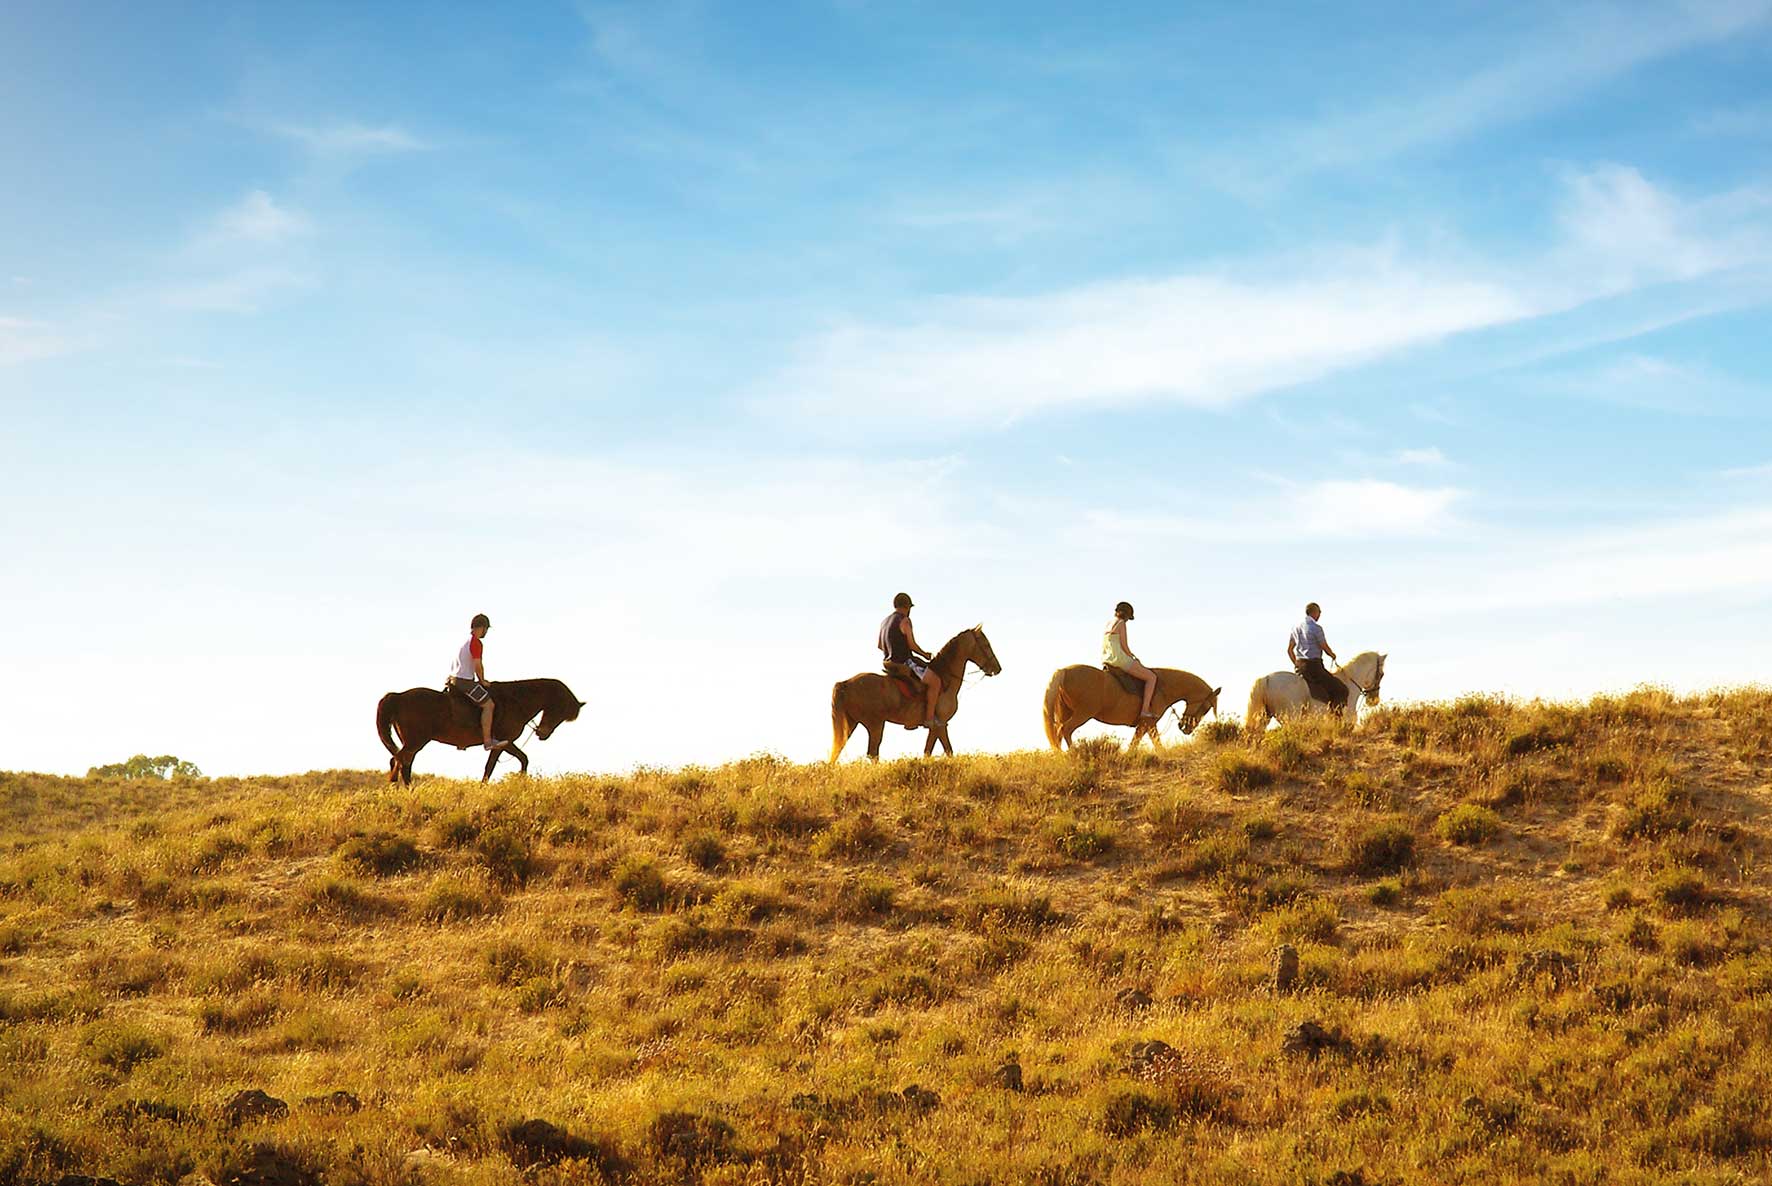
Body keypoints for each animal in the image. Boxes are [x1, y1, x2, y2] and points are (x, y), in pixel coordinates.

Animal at [377, 673, 584, 787]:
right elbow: (492, 767)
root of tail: (398, 696)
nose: (542, 734)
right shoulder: (502, 742)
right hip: (416, 741)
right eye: (559, 710)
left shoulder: (505, 743)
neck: (516, 701)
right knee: (401, 761)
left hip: (412, 742)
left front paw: (520, 782)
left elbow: (522, 759)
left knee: (400, 761)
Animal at [825, 624, 999, 762]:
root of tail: (845, 684)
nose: (998, 668)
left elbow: (933, 751)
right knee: (872, 753)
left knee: (837, 751)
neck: (945, 677)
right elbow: (944, 750)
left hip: (851, 723)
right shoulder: (940, 724)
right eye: (986, 644)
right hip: (875, 724)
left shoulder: (938, 727)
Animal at [1034, 666, 1219, 748]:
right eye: (1206, 708)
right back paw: (1074, 754)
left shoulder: (1145, 725)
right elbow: (1155, 744)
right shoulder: (1148, 723)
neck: (1162, 686)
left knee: (1057, 734)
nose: (1186, 729)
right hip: (1082, 714)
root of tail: (1063, 671)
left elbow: (1136, 744)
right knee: (1065, 730)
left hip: (1066, 712)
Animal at [1247, 648, 1382, 730]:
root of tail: (1266, 678)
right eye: (1381, 674)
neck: (1349, 681)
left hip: (1265, 717)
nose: (1374, 701)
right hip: (1291, 717)